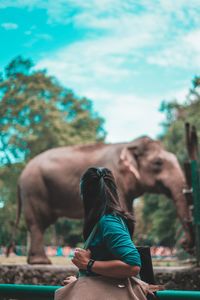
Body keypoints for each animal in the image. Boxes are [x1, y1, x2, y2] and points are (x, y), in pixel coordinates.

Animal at [14, 137, 194, 264]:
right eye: (158, 163)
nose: (185, 243)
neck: (129, 144)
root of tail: (22, 173)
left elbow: (128, 212)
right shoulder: (116, 179)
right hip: (35, 189)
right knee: (38, 223)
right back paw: (41, 262)